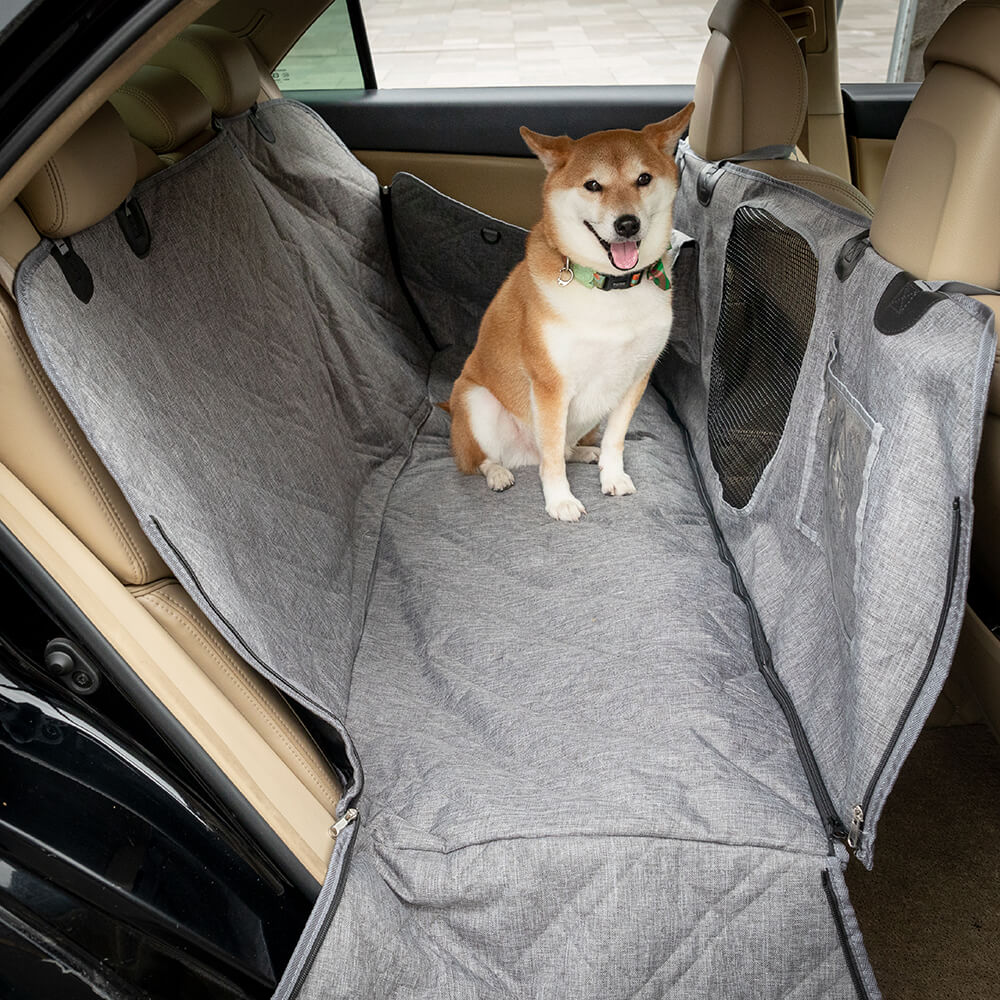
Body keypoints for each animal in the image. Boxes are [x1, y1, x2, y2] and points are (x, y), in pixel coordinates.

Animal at [448, 102, 696, 524]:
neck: (609, 287)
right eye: (592, 185)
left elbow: (615, 439)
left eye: (643, 178)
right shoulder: (551, 386)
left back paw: (584, 451)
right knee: (485, 458)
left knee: (566, 448)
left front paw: (612, 476)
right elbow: (551, 460)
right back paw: (498, 473)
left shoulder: (635, 377)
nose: (626, 224)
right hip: (475, 401)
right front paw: (560, 500)